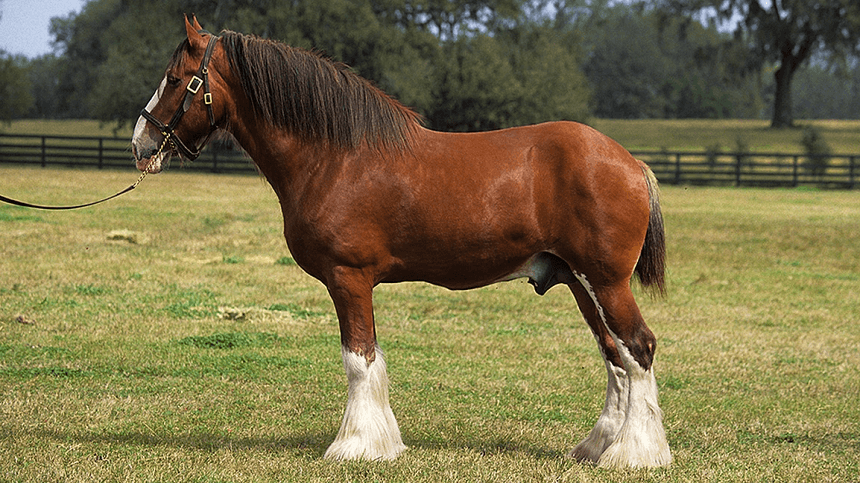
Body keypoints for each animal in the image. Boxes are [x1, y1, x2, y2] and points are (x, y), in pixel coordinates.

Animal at [133, 16, 672, 468]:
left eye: (178, 79)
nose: (141, 143)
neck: (335, 157)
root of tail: (631, 163)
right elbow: (369, 358)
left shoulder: (348, 277)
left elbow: (359, 359)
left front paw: (356, 446)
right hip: (581, 283)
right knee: (615, 357)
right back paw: (598, 447)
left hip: (604, 282)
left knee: (638, 349)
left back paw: (636, 455)